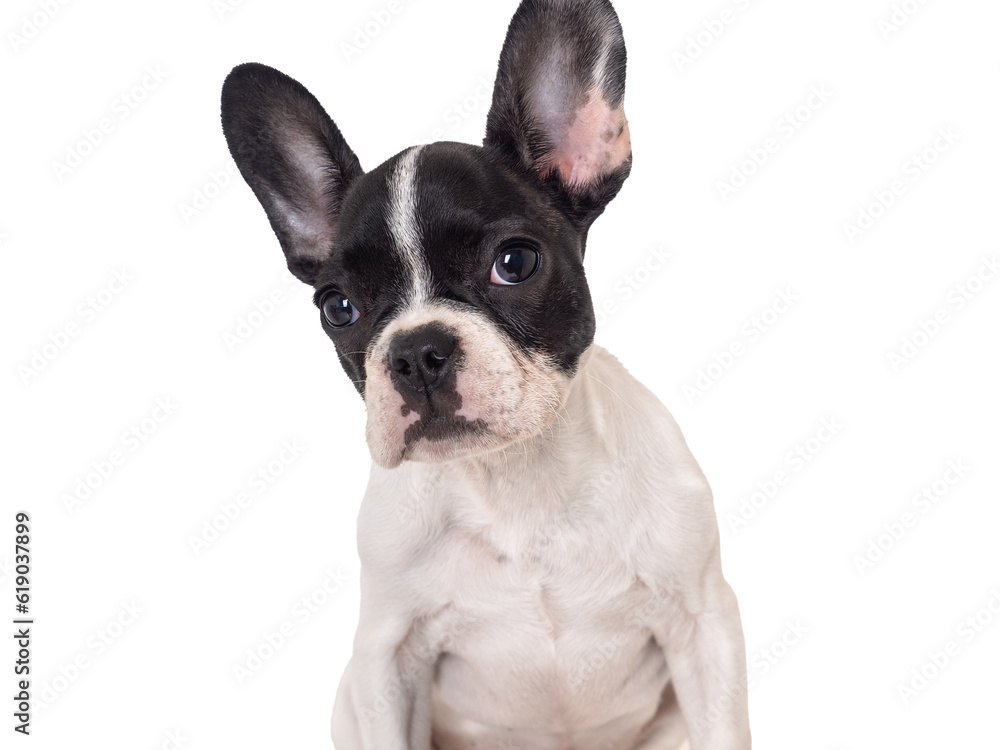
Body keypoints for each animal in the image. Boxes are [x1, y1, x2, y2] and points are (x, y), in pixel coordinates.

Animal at [221, 1, 752, 750]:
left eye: (515, 262)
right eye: (337, 307)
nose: (415, 352)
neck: (516, 484)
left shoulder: (703, 626)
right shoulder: (386, 661)